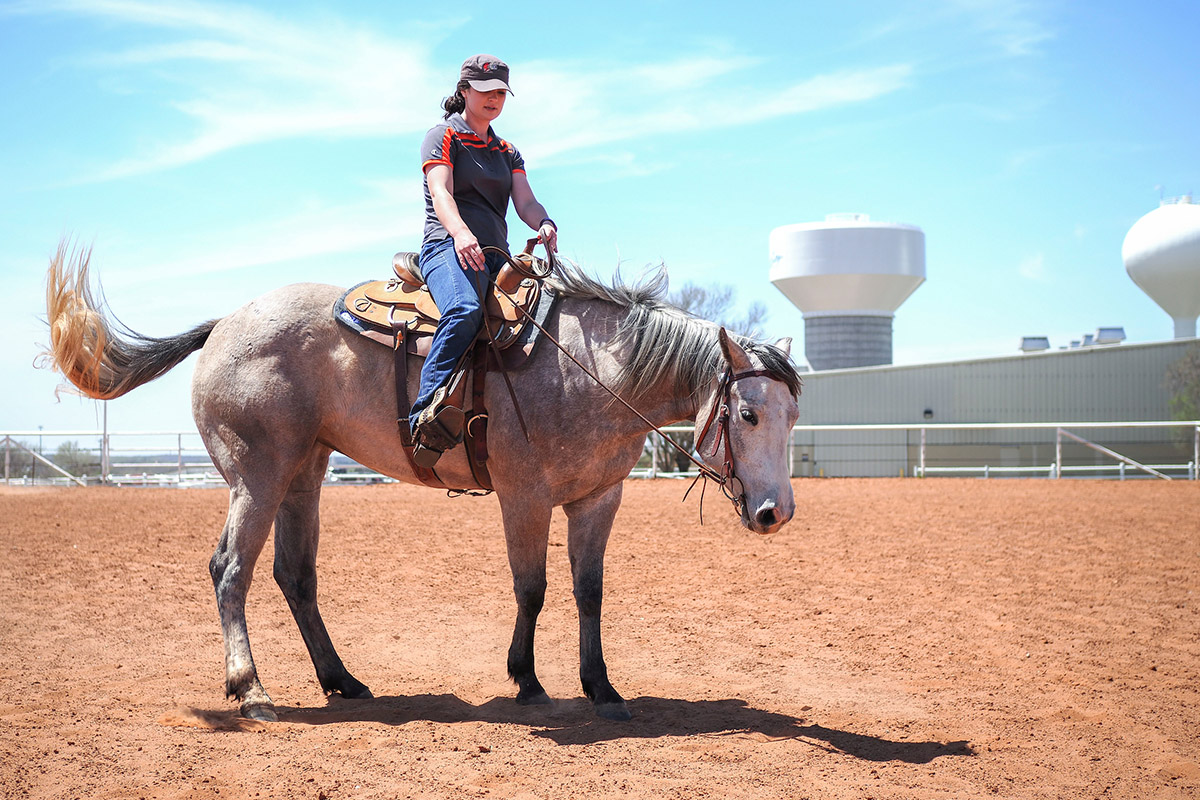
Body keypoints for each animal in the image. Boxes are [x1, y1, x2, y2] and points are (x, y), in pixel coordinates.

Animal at [43, 242, 802, 722]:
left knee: (295, 574)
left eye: (794, 414)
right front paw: (528, 681)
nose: (776, 513)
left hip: (303, 470)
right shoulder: (524, 498)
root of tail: (224, 324)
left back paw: (342, 680)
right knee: (231, 569)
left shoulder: (598, 499)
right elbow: (533, 589)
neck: (591, 367)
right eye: (747, 413)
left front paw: (603, 689)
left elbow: (589, 592)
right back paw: (251, 689)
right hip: (255, 475)